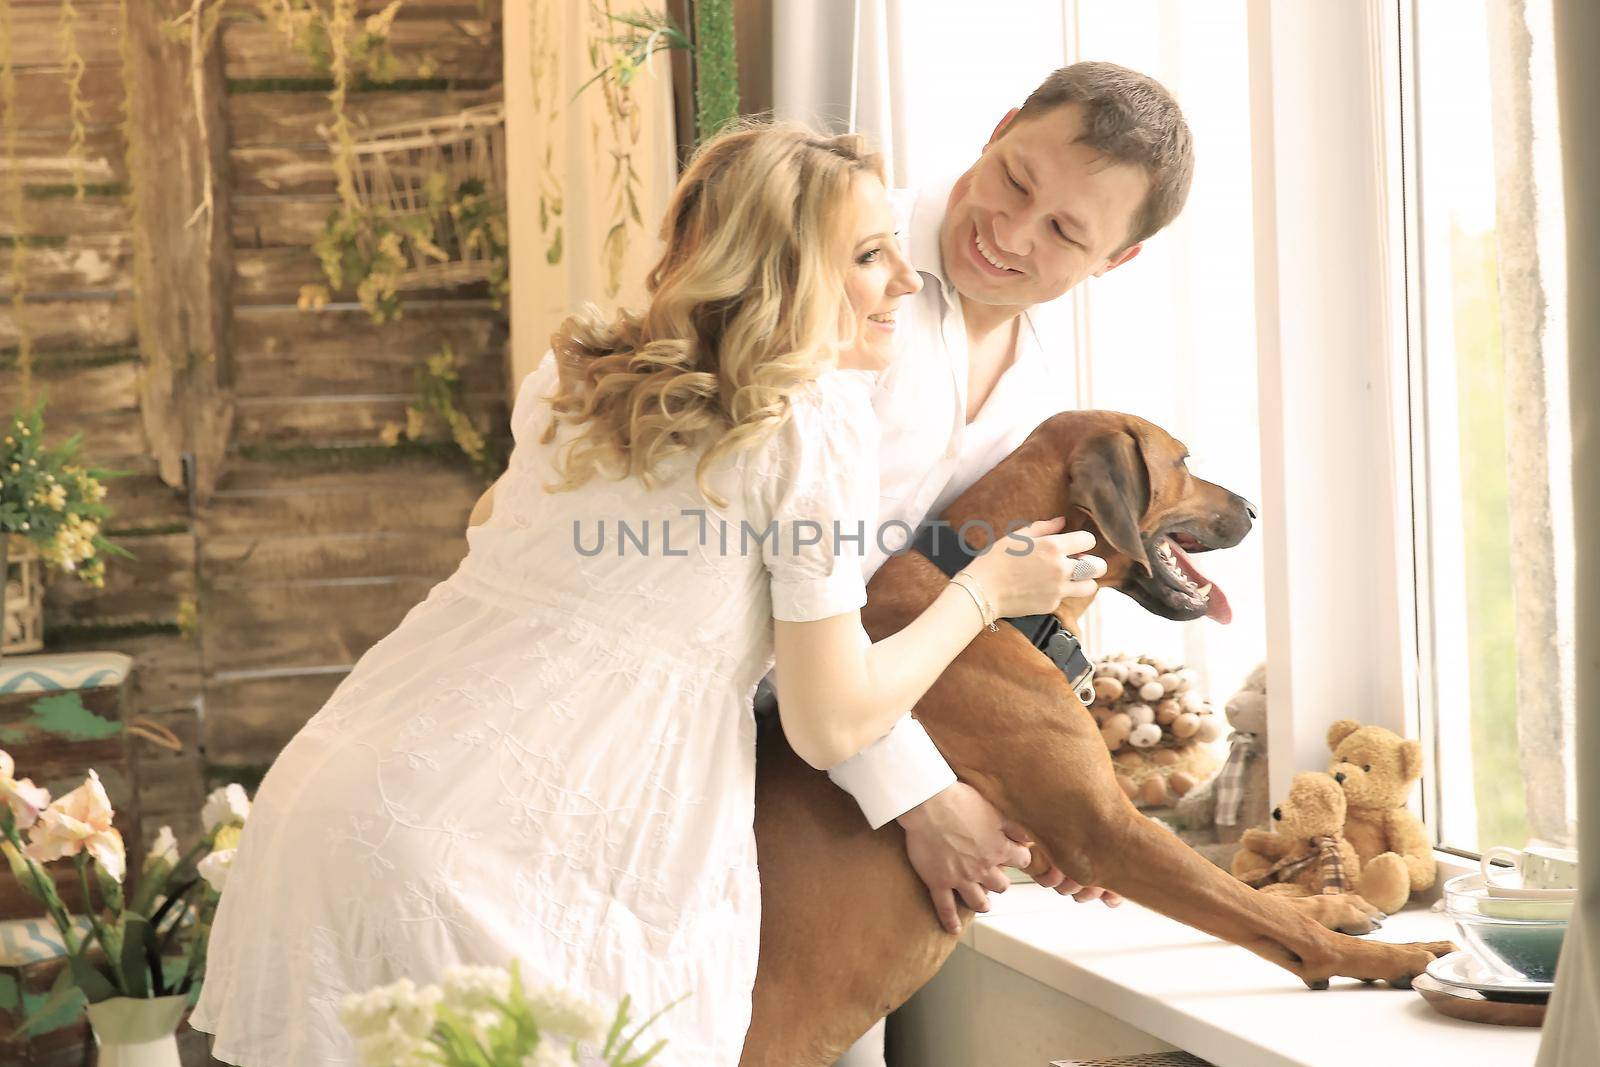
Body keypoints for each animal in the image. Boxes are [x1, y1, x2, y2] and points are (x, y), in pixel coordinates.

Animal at [736, 409, 1452, 1062]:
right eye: (1183, 461)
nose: (1251, 507)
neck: (1005, 611)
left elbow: (1252, 893)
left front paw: (1335, 908)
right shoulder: (1110, 833)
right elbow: (1255, 910)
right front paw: (1387, 955)